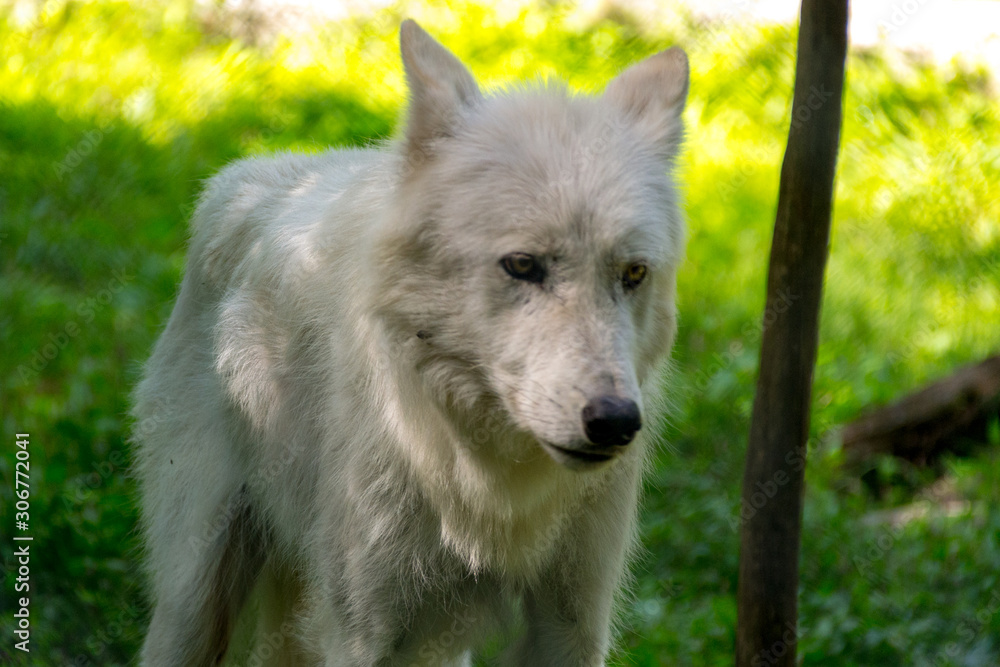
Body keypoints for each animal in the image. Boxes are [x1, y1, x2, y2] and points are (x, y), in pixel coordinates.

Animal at [132, 19, 689, 667]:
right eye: (522, 265)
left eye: (632, 274)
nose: (615, 421)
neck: (489, 492)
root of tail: (246, 179)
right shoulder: (362, 633)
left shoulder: (572, 627)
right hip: (195, 598)